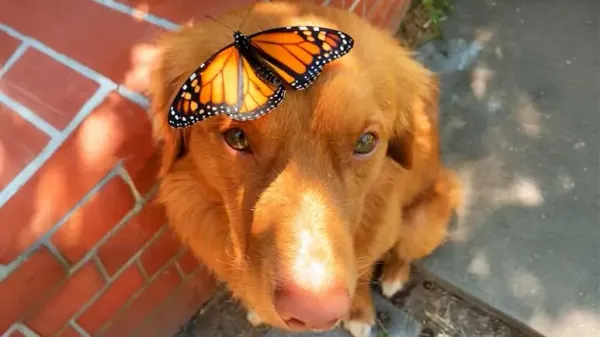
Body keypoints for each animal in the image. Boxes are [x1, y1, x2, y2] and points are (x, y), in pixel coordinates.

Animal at [148, 1, 462, 334]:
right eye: (237, 137)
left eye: (365, 142)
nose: (315, 314)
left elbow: (363, 272)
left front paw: (359, 310)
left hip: (420, 224)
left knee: (405, 251)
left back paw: (394, 276)